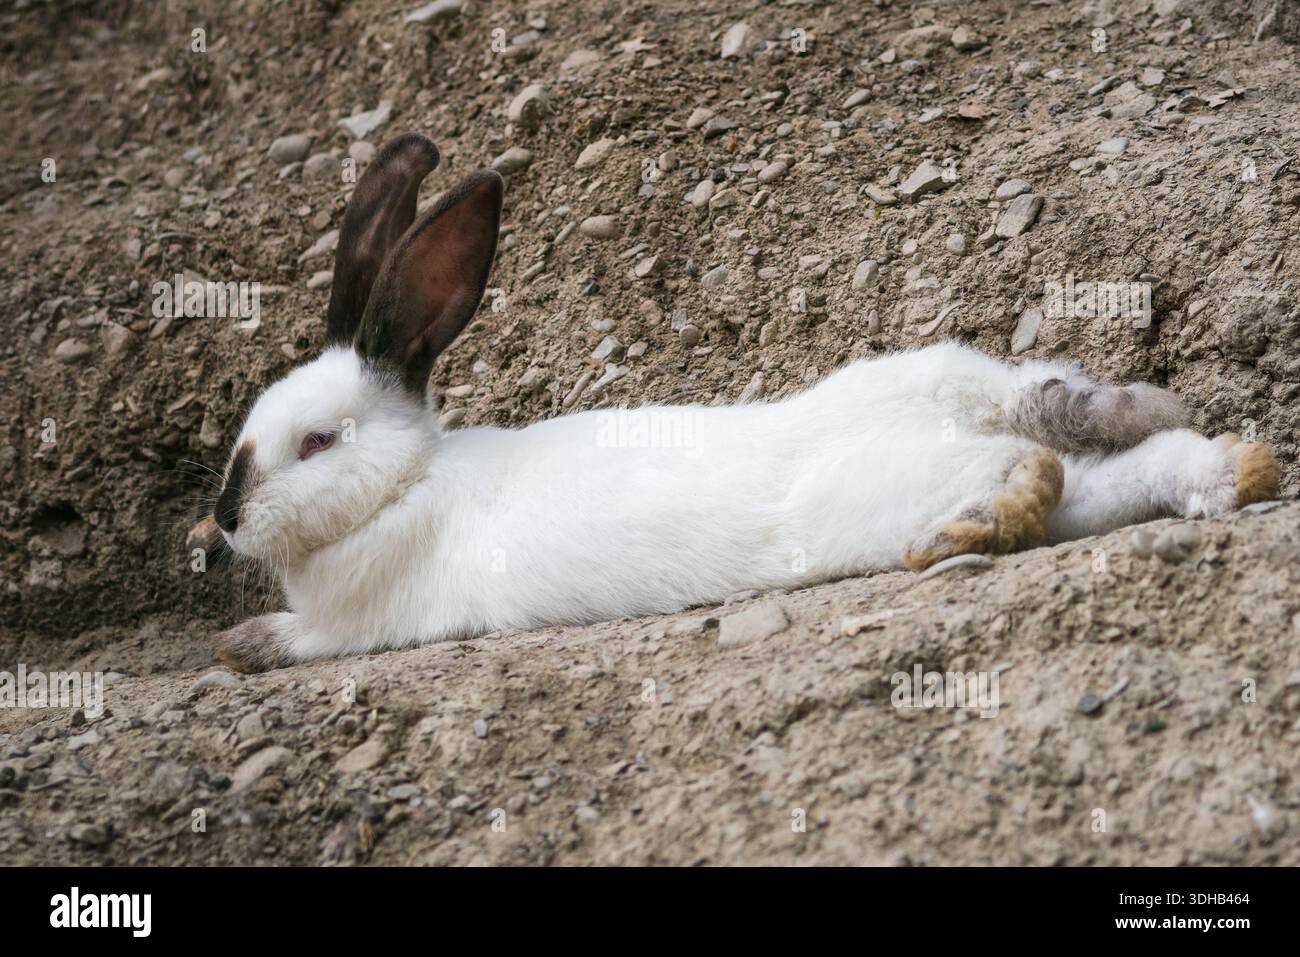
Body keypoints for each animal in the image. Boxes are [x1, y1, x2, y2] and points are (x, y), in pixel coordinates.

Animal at [211, 132, 1282, 672]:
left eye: (315, 442)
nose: (223, 520)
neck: (406, 484)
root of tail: (965, 403)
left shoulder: (356, 619)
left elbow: (300, 641)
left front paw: (240, 642)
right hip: (1023, 426)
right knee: (1108, 454)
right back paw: (1239, 468)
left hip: (892, 486)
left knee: (1032, 464)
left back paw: (978, 525)